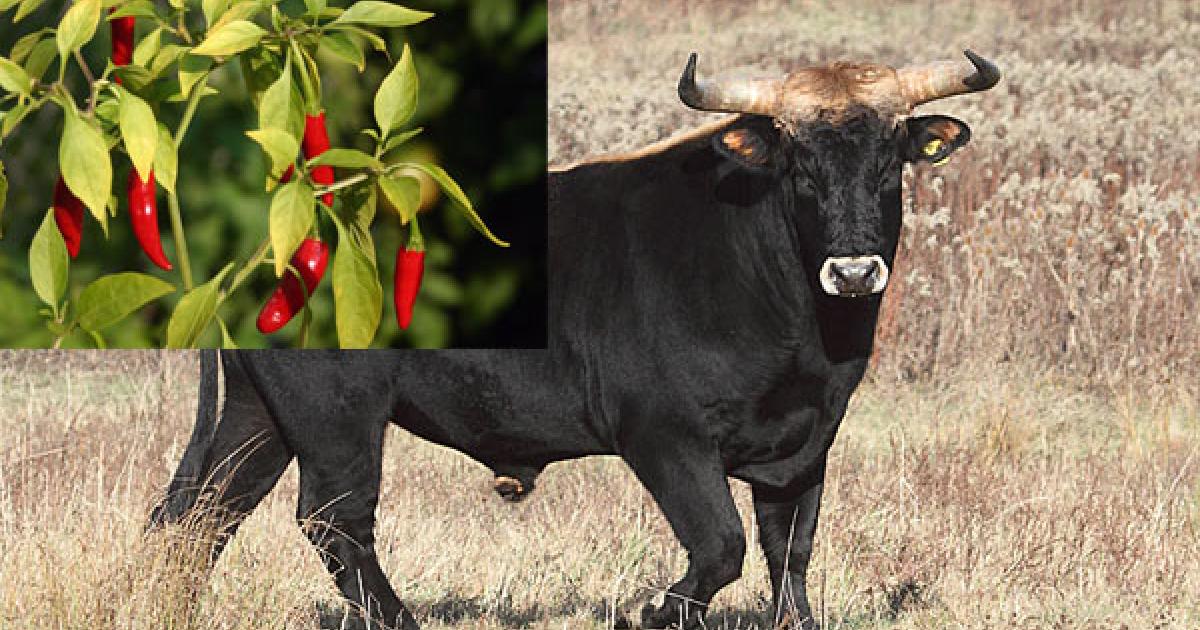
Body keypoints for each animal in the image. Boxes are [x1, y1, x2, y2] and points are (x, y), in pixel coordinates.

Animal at [150, 50, 1000, 630]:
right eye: (798, 164)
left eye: (891, 161)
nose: (853, 271)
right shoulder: (664, 436)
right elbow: (720, 546)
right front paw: (650, 611)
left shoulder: (803, 449)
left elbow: (788, 559)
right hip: (337, 417)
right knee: (334, 522)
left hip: (262, 417)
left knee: (200, 515)